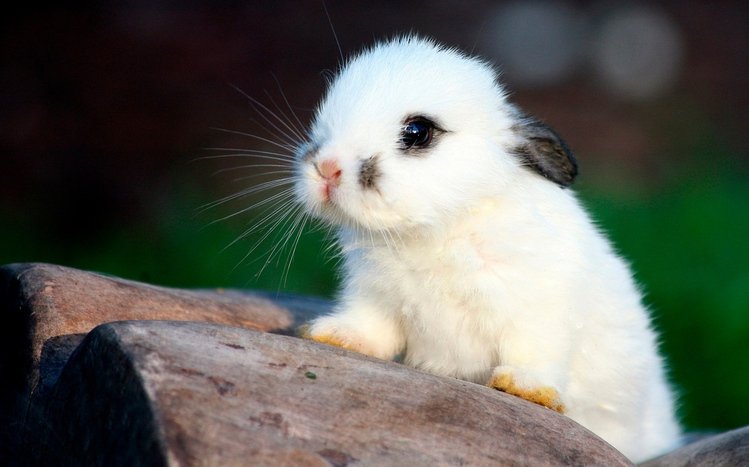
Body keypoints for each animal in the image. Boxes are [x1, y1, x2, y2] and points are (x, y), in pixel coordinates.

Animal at [293, 35, 681, 462]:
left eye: (417, 131)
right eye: (325, 120)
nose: (327, 168)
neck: (438, 229)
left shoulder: (540, 308)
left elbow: (535, 350)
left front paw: (524, 388)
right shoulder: (375, 297)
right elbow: (371, 329)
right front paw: (334, 335)